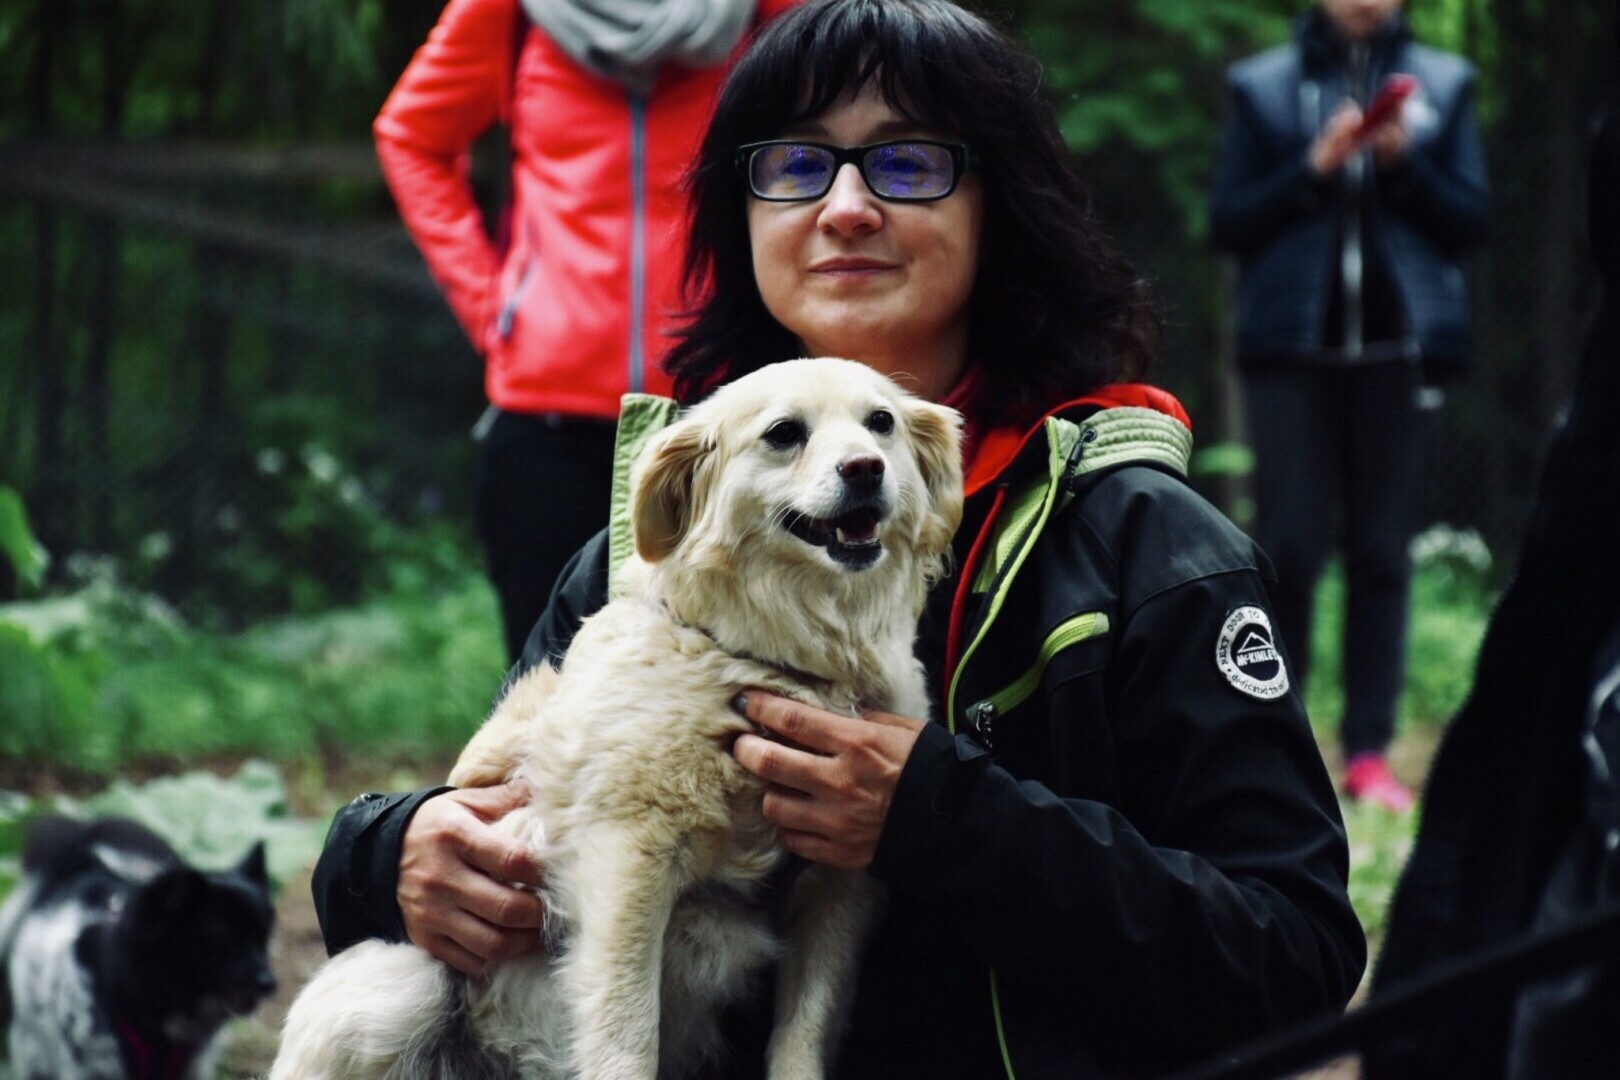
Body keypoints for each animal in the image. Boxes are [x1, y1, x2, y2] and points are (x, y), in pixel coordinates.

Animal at [270, 358, 964, 1080]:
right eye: (783, 433)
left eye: (880, 422)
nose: (865, 469)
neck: (782, 661)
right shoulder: (625, 858)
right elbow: (626, 1035)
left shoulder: (842, 882)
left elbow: (803, 1035)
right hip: (392, 986)